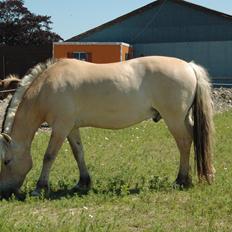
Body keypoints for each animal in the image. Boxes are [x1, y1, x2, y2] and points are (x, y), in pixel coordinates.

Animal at [0, 56, 214, 198]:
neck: (47, 86)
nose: (5, 191)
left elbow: (49, 156)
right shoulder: (71, 127)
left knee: (184, 143)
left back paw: (181, 180)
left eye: (6, 161)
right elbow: (78, 153)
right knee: (192, 139)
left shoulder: (61, 127)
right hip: (183, 118)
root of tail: (189, 66)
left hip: (174, 119)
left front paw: (40, 187)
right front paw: (83, 182)